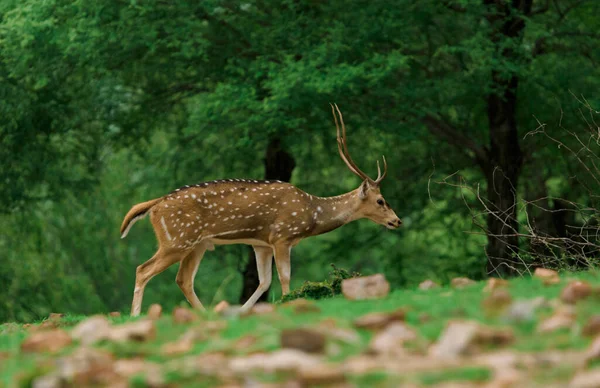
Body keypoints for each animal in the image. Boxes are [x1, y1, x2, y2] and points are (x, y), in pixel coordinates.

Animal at [120, 104, 404, 316]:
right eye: (381, 200)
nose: (397, 221)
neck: (311, 213)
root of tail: (154, 206)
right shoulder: (282, 236)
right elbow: (284, 277)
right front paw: (288, 303)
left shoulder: (260, 243)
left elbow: (264, 281)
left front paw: (243, 311)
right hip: (177, 239)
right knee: (142, 269)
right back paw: (135, 315)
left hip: (196, 244)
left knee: (183, 279)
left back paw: (205, 315)